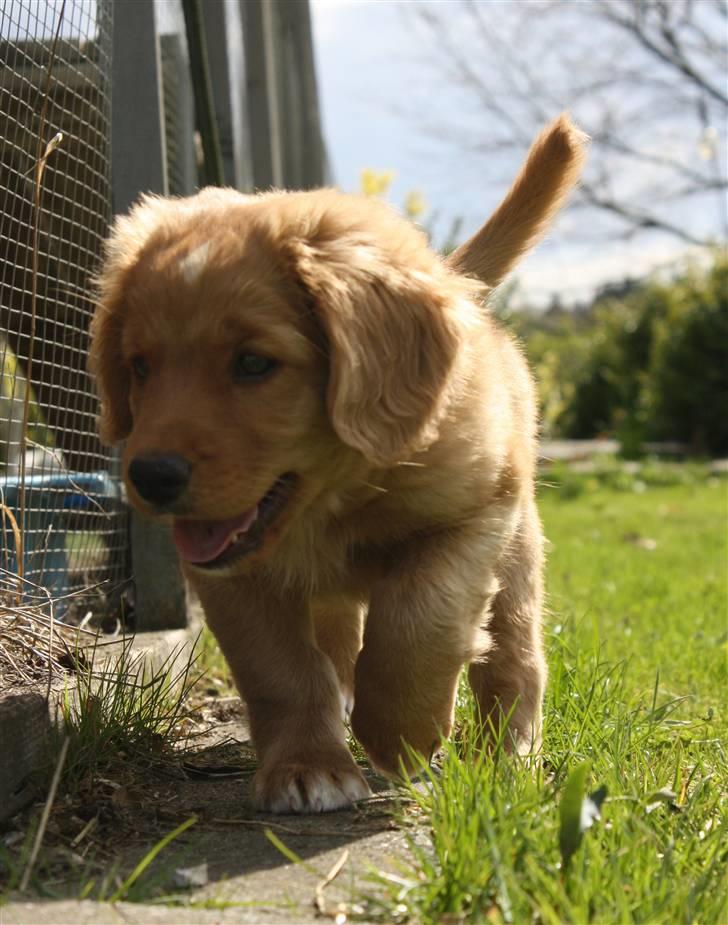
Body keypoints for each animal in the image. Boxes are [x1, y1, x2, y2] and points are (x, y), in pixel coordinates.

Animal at [91, 113, 588, 808]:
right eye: (139, 367)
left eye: (254, 363)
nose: (150, 477)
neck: (336, 498)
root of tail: (458, 283)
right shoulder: (233, 577)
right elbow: (280, 670)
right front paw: (306, 767)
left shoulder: (473, 516)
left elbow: (417, 622)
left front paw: (402, 735)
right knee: (339, 643)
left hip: (516, 555)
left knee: (514, 659)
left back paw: (508, 759)